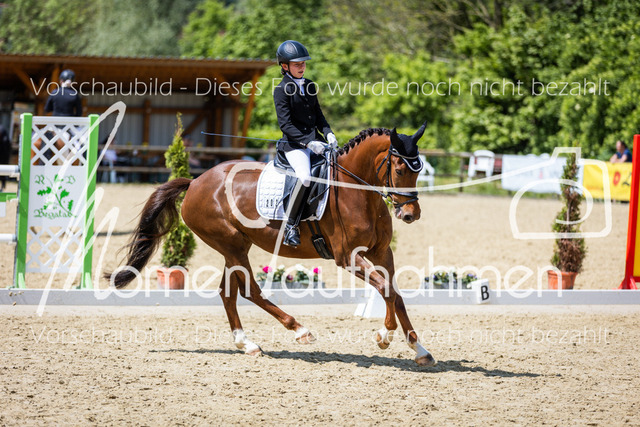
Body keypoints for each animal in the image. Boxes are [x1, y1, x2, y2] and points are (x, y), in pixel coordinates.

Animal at [109, 124, 436, 366]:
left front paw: (419, 350)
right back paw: (299, 330)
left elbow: (396, 293)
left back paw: (246, 343)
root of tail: (196, 182)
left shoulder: (382, 252)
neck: (355, 190)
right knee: (250, 290)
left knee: (228, 292)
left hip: (235, 246)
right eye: (399, 169)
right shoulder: (348, 257)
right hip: (231, 245)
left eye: (418, 169)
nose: (411, 214)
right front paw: (384, 336)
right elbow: (385, 289)